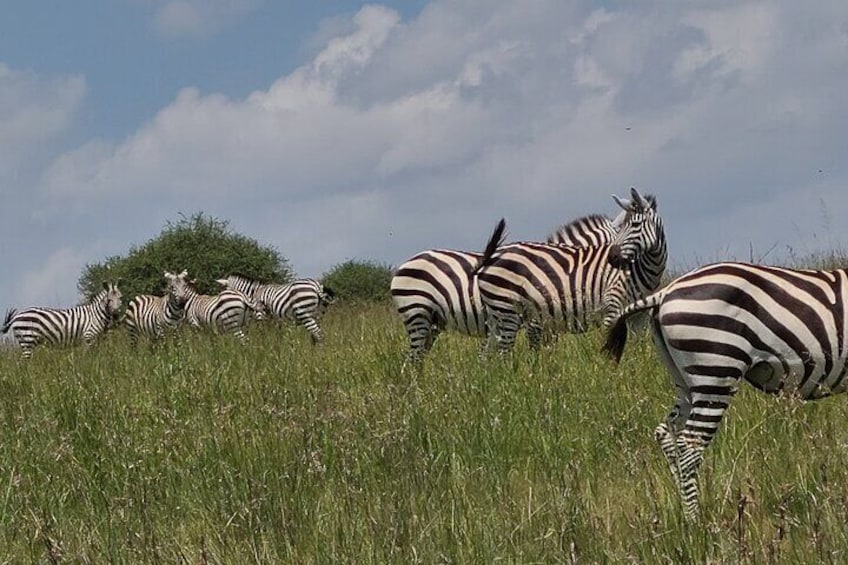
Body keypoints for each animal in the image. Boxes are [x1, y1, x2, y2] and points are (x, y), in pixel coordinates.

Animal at [390, 209, 630, 367]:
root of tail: (404, 264)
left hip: (434, 323)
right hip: (417, 313)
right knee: (411, 361)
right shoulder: (534, 322)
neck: (559, 267)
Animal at [475, 188, 666, 353]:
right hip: (506, 311)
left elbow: (635, 350)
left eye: (635, 224)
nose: (612, 257)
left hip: (497, 316)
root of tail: (490, 257)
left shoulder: (637, 317)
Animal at [603, 261, 848, 520]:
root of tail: (667, 291)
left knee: (666, 433)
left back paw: (685, 510)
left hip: (686, 381)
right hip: (716, 370)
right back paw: (696, 522)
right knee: (690, 444)